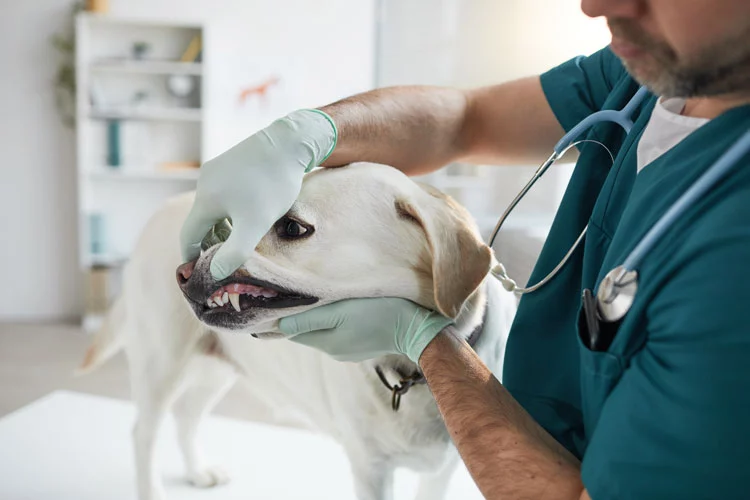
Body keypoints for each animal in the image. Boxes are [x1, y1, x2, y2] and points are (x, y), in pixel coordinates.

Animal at [81, 164, 516, 500]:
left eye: (291, 226)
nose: (183, 273)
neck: (411, 375)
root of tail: (160, 211)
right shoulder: (370, 469)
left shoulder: (441, 472)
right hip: (161, 364)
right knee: (143, 433)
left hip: (215, 368)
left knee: (186, 416)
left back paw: (197, 470)